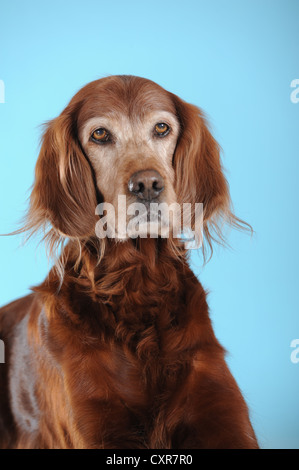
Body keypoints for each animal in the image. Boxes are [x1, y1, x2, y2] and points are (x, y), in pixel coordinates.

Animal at [0, 75, 258, 450]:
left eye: (162, 128)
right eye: (100, 134)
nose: (147, 185)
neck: (137, 284)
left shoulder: (222, 413)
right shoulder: (96, 425)